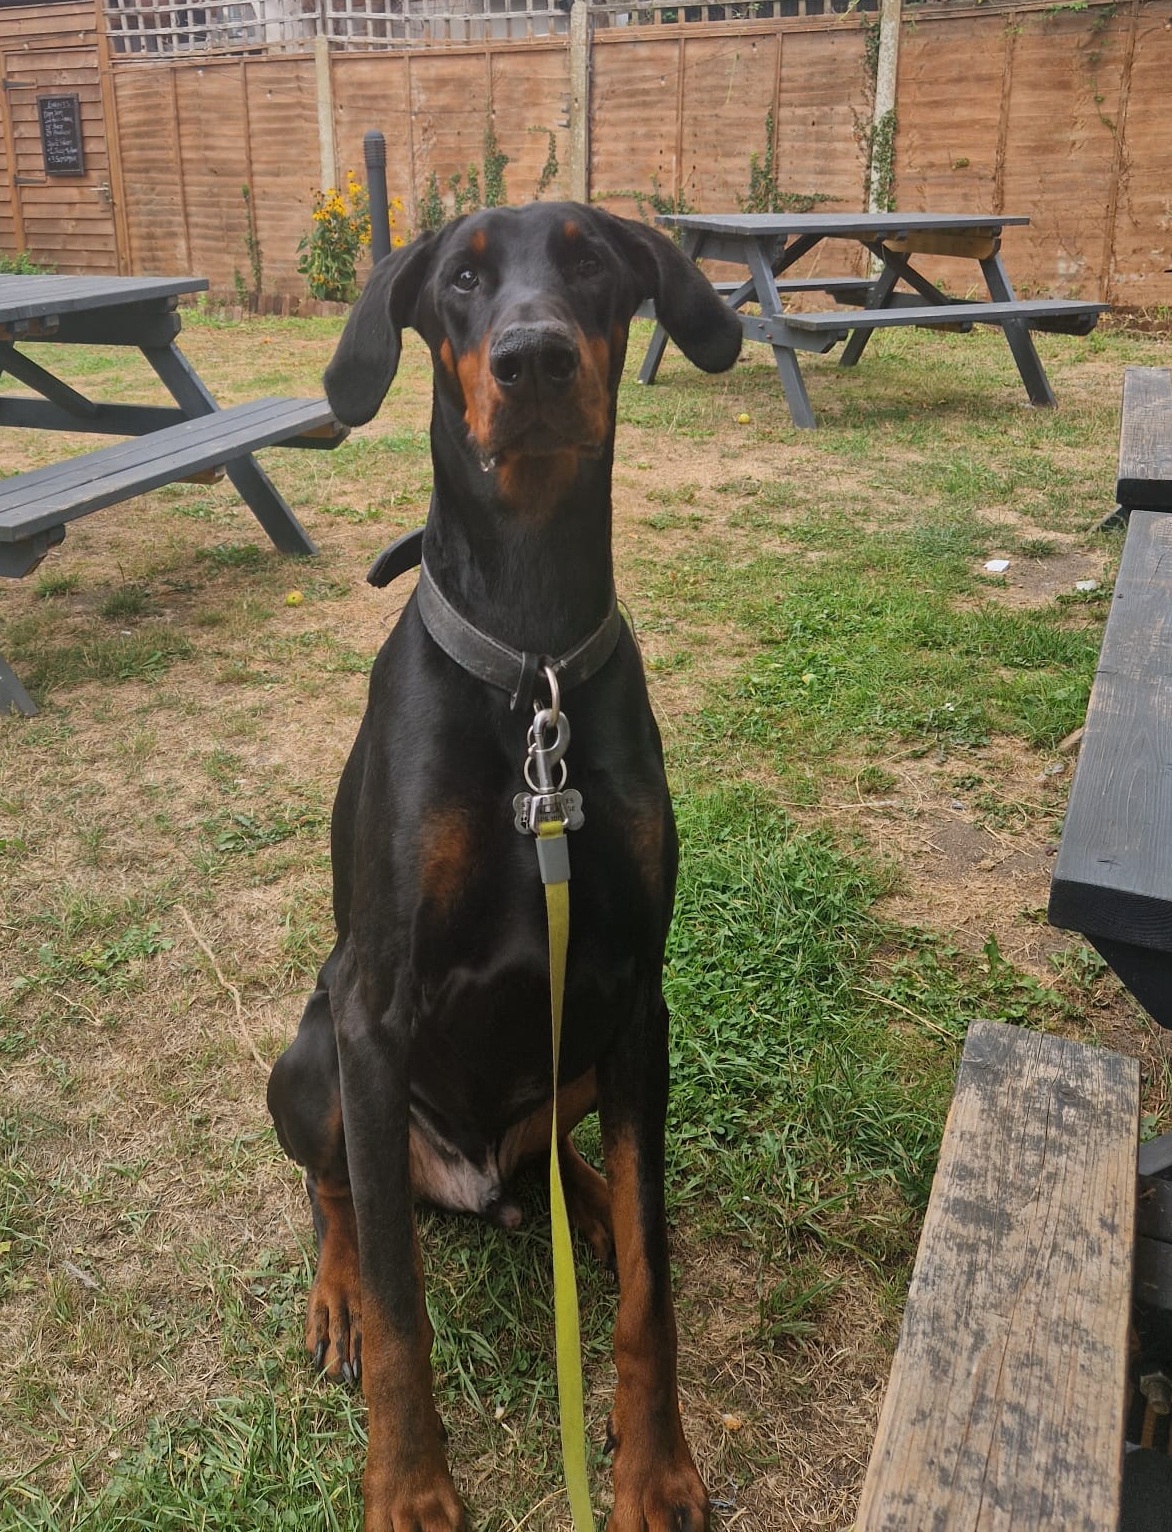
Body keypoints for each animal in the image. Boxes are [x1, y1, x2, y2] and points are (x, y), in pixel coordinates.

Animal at [266, 200, 741, 1532]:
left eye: (588, 260)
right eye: (463, 280)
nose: (534, 359)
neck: (531, 668)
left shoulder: (637, 987)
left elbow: (650, 1284)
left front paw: (654, 1466)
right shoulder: (373, 1008)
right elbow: (401, 1304)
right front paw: (408, 1486)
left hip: (587, 1042)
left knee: (571, 1153)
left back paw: (584, 1201)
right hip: (311, 1053)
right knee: (338, 1191)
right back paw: (334, 1294)